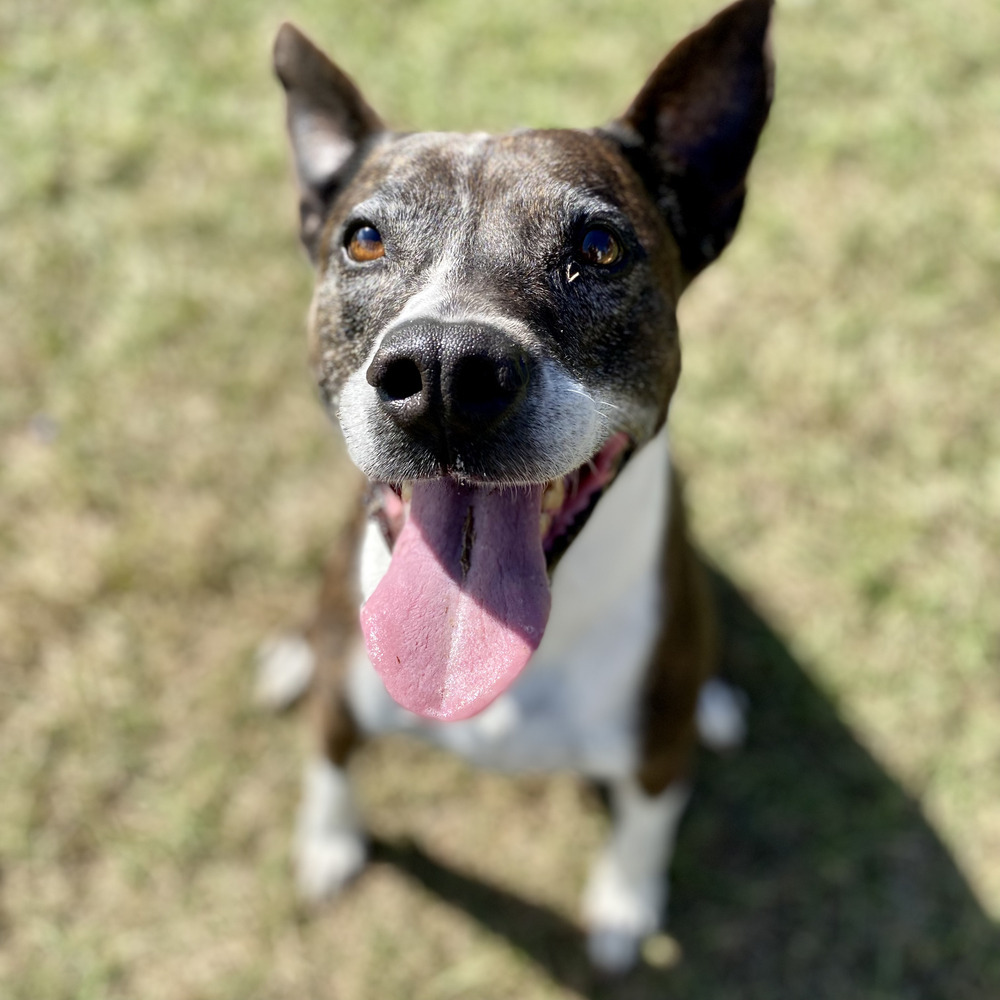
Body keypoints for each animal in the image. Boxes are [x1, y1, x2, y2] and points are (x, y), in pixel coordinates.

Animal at [260, 0, 772, 968]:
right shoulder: (342, 711)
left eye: (600, 248)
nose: (444, 372)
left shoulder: (655, 758)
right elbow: (329, 766)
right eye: (364, 239)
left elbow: (644, 830)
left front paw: (622, 907)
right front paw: (329, 842)